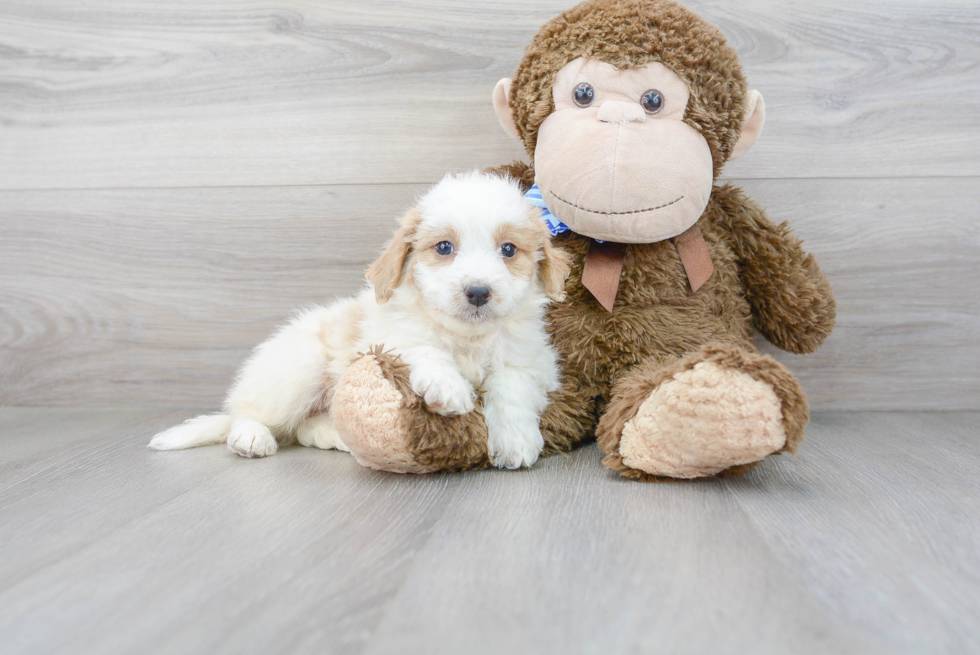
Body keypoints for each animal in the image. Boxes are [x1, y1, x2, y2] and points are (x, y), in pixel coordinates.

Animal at [149, 174, 572, 468]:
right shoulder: (388, 337)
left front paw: (515, 441)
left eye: (509, 250)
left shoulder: (532, 362)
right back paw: (251, 438)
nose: (479, 292)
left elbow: (511, 385)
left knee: (301, 427)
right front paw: (448, 387)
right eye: (444, 247)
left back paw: (333, 435)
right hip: (297, 367)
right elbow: (423, 347)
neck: (466, 338)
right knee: (248, 414)